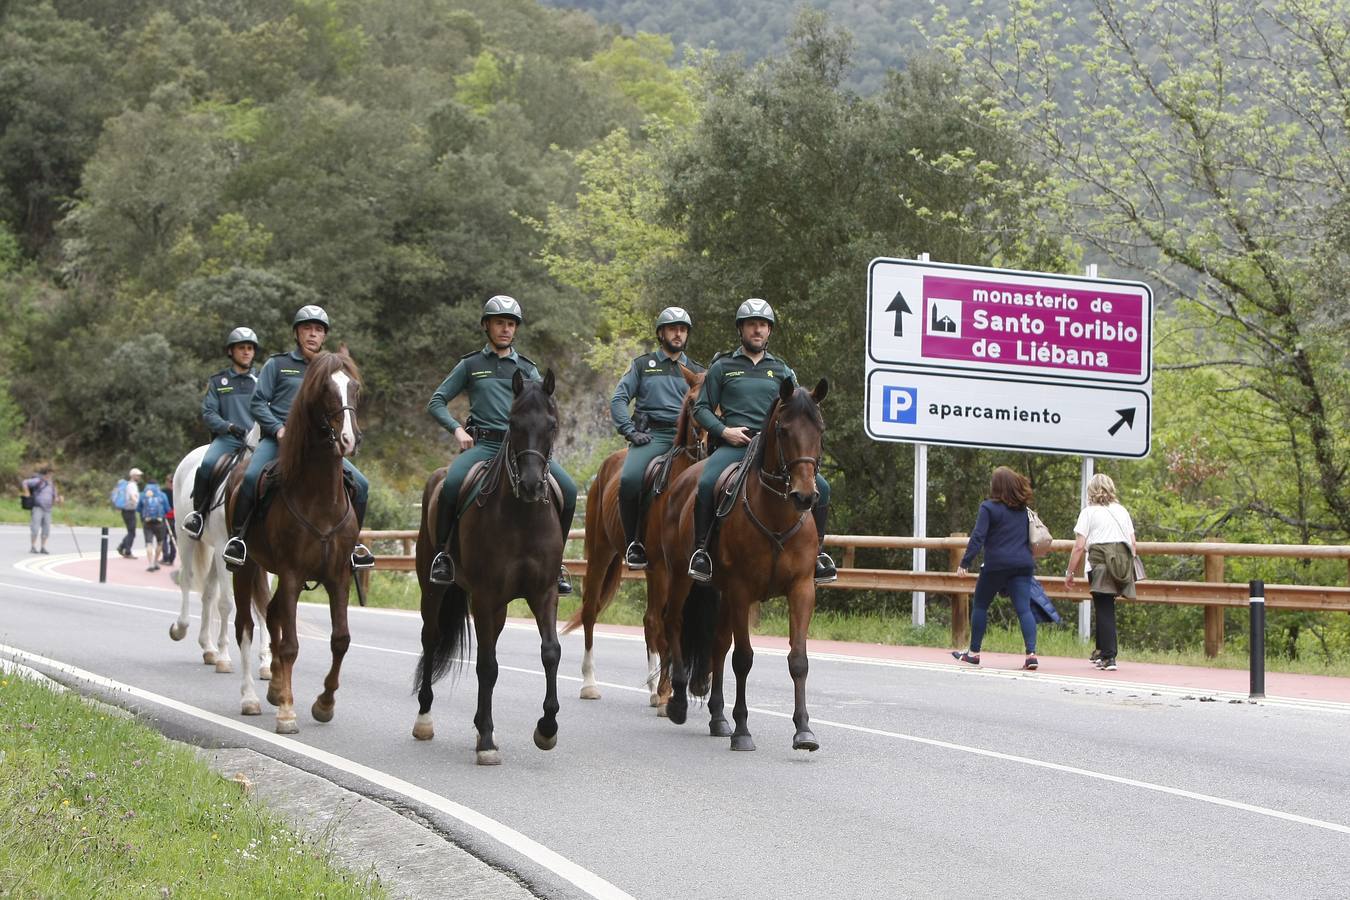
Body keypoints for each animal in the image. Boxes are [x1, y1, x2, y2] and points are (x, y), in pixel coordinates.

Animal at [168, 445, 268, 682]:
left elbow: (263, 606)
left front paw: (266, 663)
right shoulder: (226, 548)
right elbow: (226, 603)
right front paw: (224, 657)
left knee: (208, 592)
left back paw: (208, 648)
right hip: (185, 537)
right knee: (187, 580)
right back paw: (181, 629)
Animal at [226, 348, 364, 734]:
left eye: (355, 388)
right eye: (326, 390)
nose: (349, 440)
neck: (321, 498)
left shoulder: (337, 577)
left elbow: (340, 639)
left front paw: (324, 704)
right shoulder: (290, 574)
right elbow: (289, 645)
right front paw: (288, 712)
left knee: (272, 615)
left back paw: (273, 687)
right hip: (246, 569)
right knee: (246, 626)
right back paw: (251, 698)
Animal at [407, 369, 561, 766]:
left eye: (552, 424)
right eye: (513, 423)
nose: (531, 484)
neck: (522, 516)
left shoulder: (544, 592)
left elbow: (550, 652)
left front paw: (546, 729)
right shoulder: (485, 595)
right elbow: (488, 666)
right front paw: (488, 741)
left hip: (498, 607)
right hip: (435, 590)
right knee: (431, 639)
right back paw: (425, 720)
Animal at [564, 361, 707, 707]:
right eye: (693, 401)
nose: (707, 441)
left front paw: (678, 688)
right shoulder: (661, 568)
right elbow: (662, 622)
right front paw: (666, 692)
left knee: (647, 620)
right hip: (600, 553)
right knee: (592, 611)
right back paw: (590, 683)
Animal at [653, 377, 820, 755]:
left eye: (820, 429)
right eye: (783, 430)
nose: (804, 496)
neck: (776, 513)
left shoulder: (801, 588)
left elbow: (798, 660)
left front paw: (804, 731)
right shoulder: (743, 590)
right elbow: (743, 659)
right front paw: (743, 731)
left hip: (722, 593)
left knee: (717, 644)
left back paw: (717, 718)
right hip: (681, 577)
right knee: (674, 623)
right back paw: (678, 702)